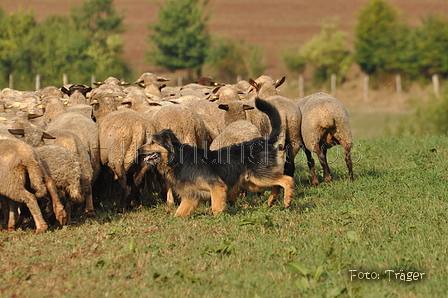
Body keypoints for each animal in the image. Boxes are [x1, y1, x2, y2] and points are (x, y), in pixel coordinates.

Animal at [138, 97, 296, 217]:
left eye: (152, 142)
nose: (138, 149)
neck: (177, 159)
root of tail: (265, 141)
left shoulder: (217, 187)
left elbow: (216, 208)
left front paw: (219, 218)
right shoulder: (191, 197)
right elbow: (178, 214)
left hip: (258, 176)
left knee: (287, 179)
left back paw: (287, 200)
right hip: (252, 182)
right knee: (278, 182)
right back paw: (272, 200)